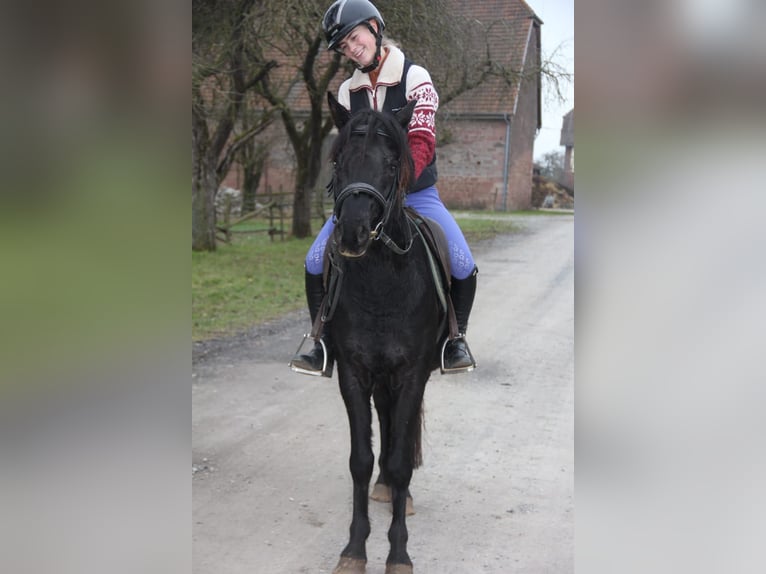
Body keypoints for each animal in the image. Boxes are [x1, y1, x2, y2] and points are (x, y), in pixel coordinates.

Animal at [326, 92, 450, 572]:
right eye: (338, 160)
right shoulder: (354, 372)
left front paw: (398, 553)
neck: (382, 283)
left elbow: (400, 461)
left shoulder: (412, 373)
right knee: (386, 421)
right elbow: (360, 459)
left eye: (392, 162)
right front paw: (354, 549)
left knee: (401, 434)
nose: (353, 233)